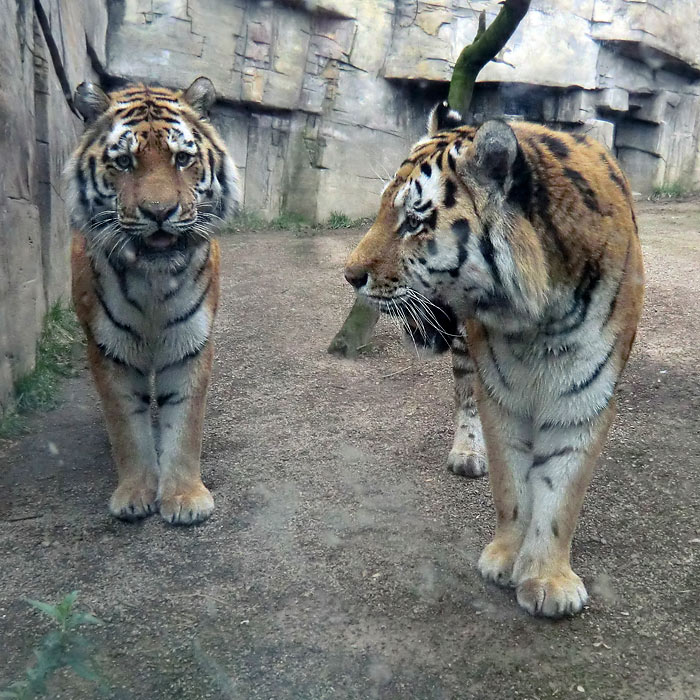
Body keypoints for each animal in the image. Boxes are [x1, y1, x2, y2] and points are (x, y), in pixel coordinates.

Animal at [66, 76, 241, 524]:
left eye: (182, 159)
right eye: (124, 162)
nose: (160, 212)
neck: (153, 283)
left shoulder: (190, 341)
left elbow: (184, 421)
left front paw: (184, 497)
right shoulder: (108, 348)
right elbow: (127, 426)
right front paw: (134, 493)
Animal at [344, 101, 644, 616]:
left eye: (414, 221)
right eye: (382, 209)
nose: (350, 275)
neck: (539, 315)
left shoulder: (586, 394)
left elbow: (562, 491)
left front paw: (547, 580)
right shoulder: (500, 392)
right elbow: (512, 484)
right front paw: (505, 559)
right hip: (469, 356)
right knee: (464, 396)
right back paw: (467, 453)